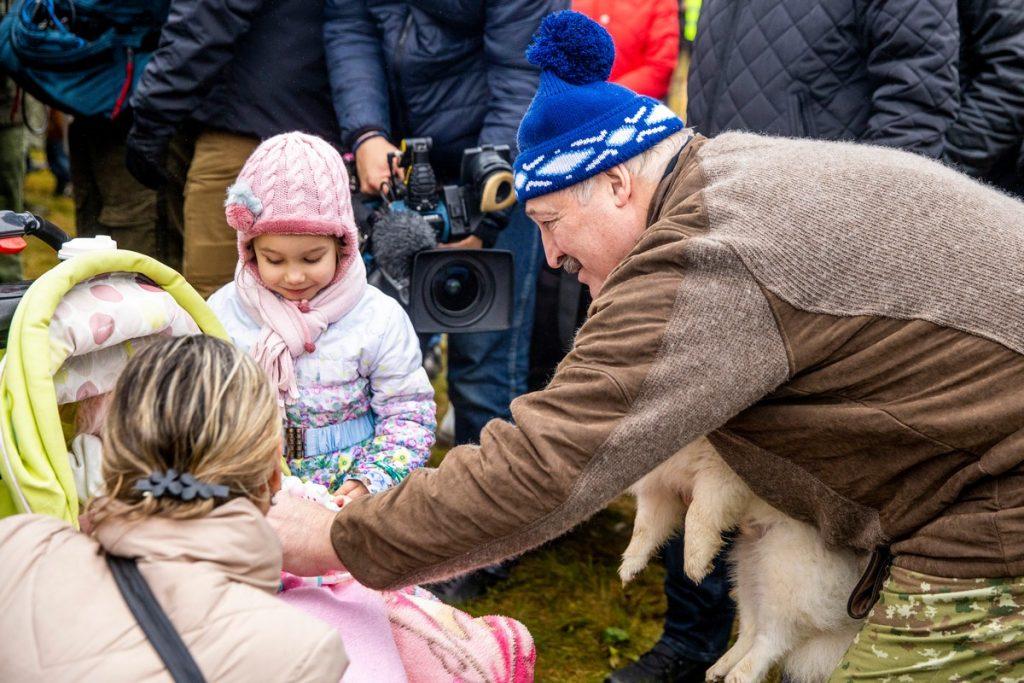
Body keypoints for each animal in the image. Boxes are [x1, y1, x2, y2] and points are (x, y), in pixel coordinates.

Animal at [614, 440, 864, 679]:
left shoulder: (719, 476)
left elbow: (697, 514)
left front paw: (695, 563)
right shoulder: (659, 485)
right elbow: (645, 526)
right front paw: (630, 568)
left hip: (785, 580)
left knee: (773, 640)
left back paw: (739, 675)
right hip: (747, 570)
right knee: (750, 629)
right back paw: (720, 668)